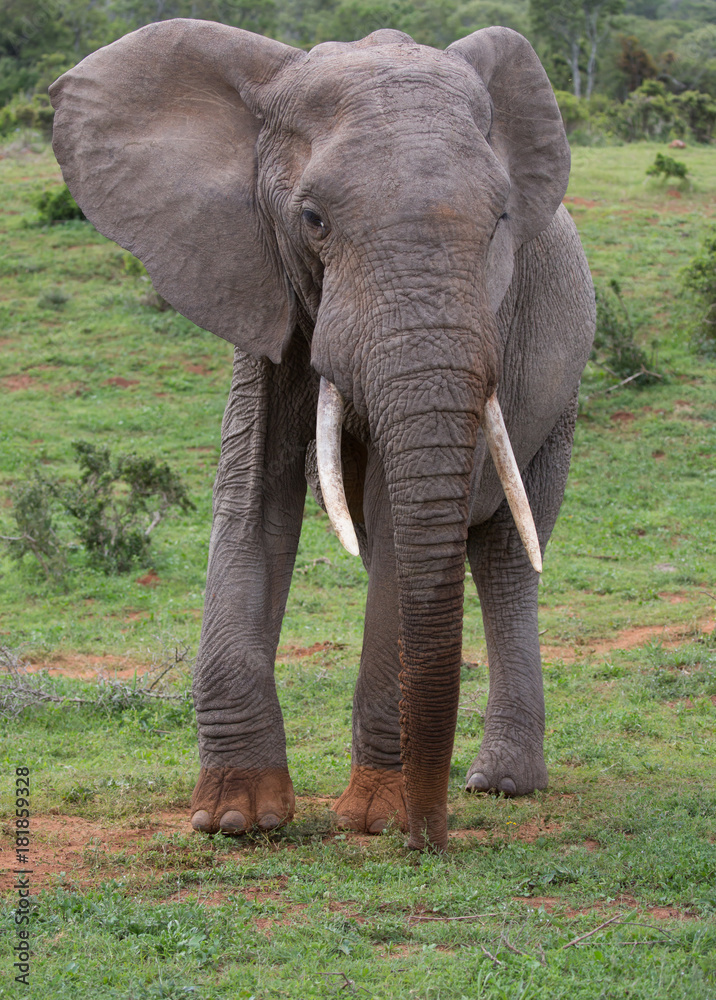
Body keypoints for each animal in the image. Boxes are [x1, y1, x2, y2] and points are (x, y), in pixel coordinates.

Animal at [50, 18, 595, 851]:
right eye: (313, 221)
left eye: (500, 220)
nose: (427, 839)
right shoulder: (255, 273)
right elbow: (251, 502)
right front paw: (235, 818)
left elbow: (402, 524)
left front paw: (373, 819)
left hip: (562, 389)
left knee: (505, 550)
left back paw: (502, 784)